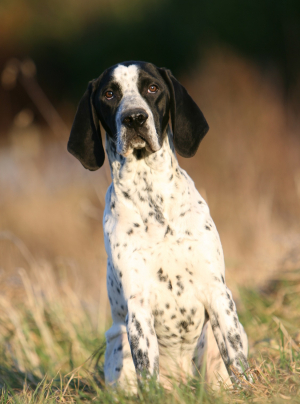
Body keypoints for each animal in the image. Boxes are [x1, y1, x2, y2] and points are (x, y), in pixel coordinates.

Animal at [68, 60, 251, 392]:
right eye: (110, 94)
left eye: (152, 88)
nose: (134, 118)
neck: (152, 196)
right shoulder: (138, 308)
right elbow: (147, 371)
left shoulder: (217, 293)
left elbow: (237, 361)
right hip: (118, 342)